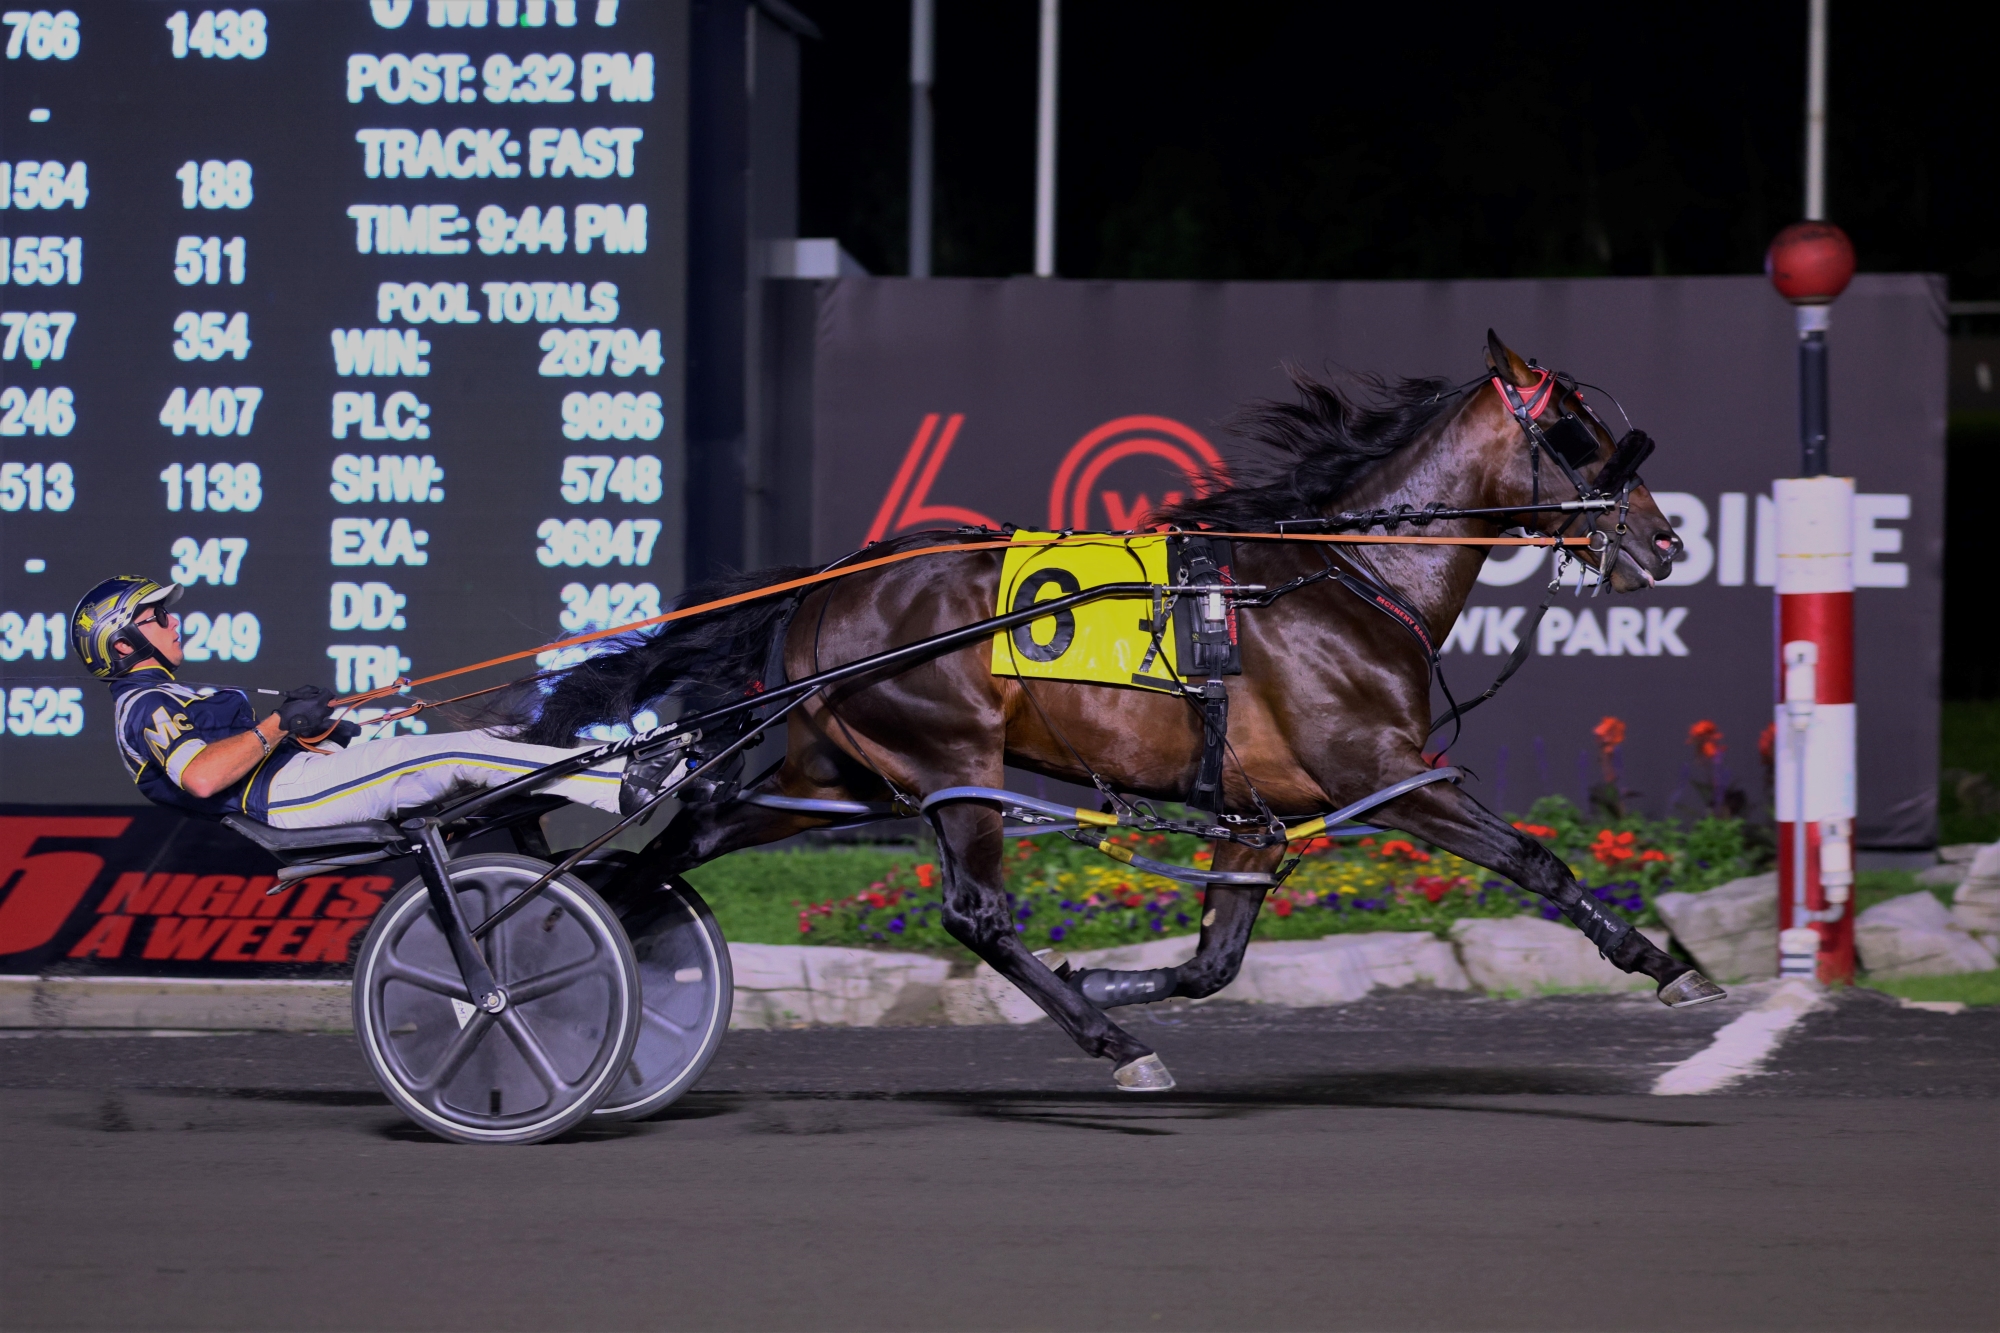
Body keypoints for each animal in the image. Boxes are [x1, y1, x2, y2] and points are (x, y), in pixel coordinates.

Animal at [524, 332, 1728, 1088]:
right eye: (1576, 433)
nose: (1666, 536)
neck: (1343, 576)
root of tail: (827, 584)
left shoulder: (1255, 815)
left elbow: (1214, 961)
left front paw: (1104, 970)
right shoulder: (1382, 776)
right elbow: (1534, 861)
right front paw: (1664, 963)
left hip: (839, 774)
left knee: (684, 836)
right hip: (955, 762)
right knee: (975, 915)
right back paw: (1111, 1044)